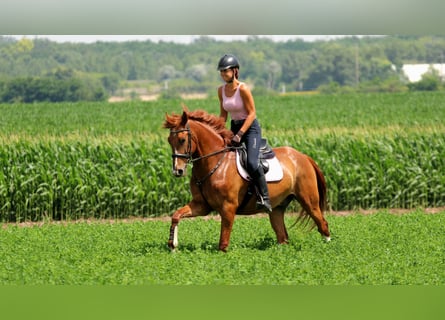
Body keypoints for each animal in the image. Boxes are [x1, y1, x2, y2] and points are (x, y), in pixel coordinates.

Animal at [163, 109, 330, 251]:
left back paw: (326, 249)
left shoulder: (228, 208)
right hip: (277, 208)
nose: (177, 171)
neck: (216, 163)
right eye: (169, 141)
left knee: (323, 224)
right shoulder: (201, 205)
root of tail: (303, 157)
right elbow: (176, 215)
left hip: (309, 201)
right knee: (283, 237)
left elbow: (223, 243)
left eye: (182, 140)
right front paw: (172, 245)